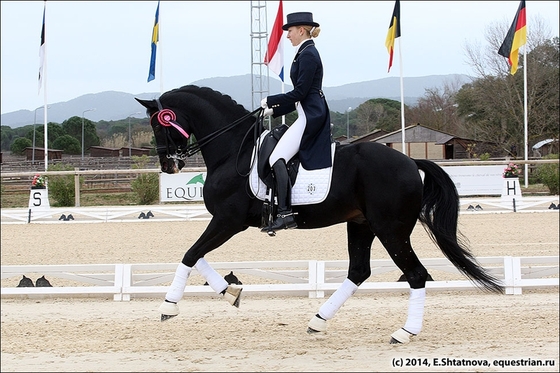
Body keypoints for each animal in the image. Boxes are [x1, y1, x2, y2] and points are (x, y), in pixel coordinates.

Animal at [137, 84, 504, 342]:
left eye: (160, 125)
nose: (168, 166)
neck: (234, 151)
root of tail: (411, 161)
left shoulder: (229, 221)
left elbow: (189, 254)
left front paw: (169, 305)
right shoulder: (226, 223)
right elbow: (196, 255)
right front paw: (231, 293)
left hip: (391, 229)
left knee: (415, 274)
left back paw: (404, 333)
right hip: (361, 224)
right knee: (359, 271)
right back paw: (319, 320)